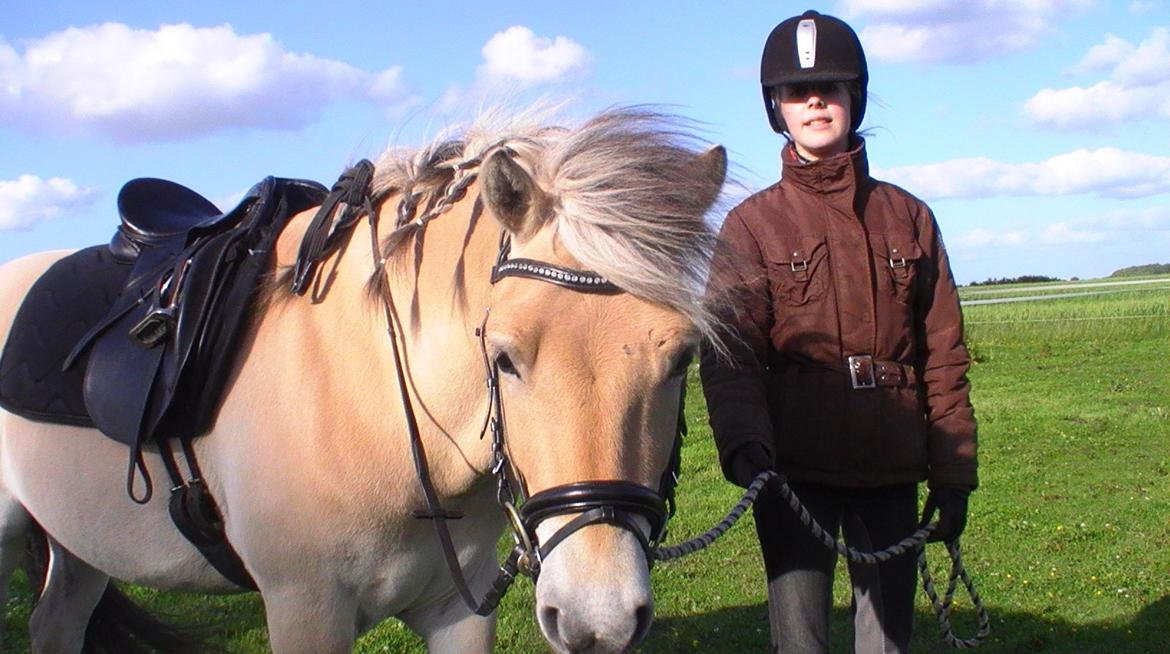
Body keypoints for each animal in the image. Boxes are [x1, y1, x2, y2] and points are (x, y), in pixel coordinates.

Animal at [0, 106, 728, 653]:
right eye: (504, 358)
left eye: (682, 358)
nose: (598, 619)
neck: (375, 408)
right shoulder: (304, 612)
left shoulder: (459, 612)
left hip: (80, 546)